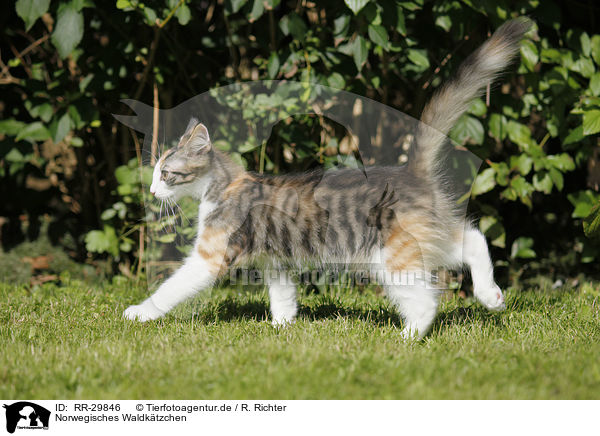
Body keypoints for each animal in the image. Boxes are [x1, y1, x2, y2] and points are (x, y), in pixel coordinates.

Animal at [124, 18, 532, 338]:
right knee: (473, 239)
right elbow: (283, 297)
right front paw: (281, 327)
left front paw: (140, 312)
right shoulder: (275, 260)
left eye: (165, 174)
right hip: (421, 237)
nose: (151, 189)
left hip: (392, 255)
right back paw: (491, 296)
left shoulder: (209, 257)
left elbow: (172, 287)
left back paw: (409, 337)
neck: (221, 187)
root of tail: (409, 170)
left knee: (427, 299)